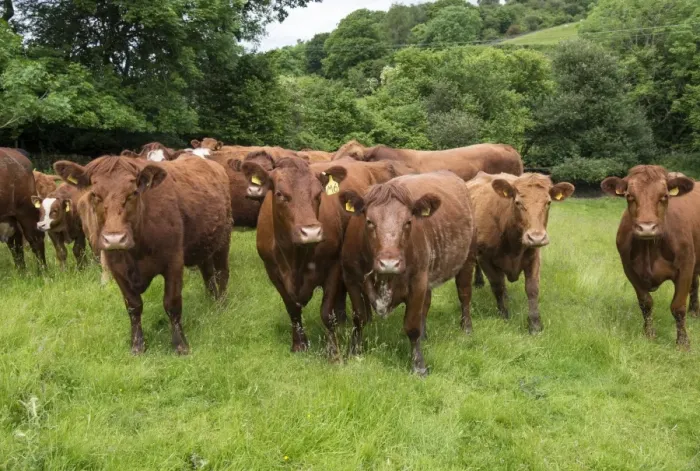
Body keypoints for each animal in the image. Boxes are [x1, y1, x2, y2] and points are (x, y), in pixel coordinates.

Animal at [53, 155, 233, 354]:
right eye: (94, 194)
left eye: (133, 193)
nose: (115, 239)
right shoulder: (117, 269)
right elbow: (133, 306)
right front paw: (137, 344)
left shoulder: (174, 262)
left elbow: (172, 303)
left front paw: (180, 344)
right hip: (204, 244)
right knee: (207, 273)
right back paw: (211, 299)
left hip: (224, 239)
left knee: (222, 273)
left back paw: (221, 304)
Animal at [339, 171, 477, 375]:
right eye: (369, 221)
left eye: (408, 222)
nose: (389, 263)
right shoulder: (351, 279)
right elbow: (359, 319)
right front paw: (353, 352)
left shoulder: (417, 282)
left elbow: (412, 326)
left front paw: (418, 365)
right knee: (427, 304)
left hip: (467, 259)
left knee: (464, 294)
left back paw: (466, 328)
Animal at [467, 172, 574, 333]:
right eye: (518, 202)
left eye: (548, 202)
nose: (537, 237)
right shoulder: (485, 258)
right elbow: (497, 286)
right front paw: (504, 315)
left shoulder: (534, 256)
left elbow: (532, 288)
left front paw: (535, 325)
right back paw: (479, 282)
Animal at [601, 165, 699, 348]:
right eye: (629, 196)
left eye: (665, 196)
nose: (647, 228)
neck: (650, 250)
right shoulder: (630, 270)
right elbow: (645, 302)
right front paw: (649, 334)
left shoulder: (686, 266)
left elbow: (678, 307)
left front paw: (683, 343)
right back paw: (694, 312)